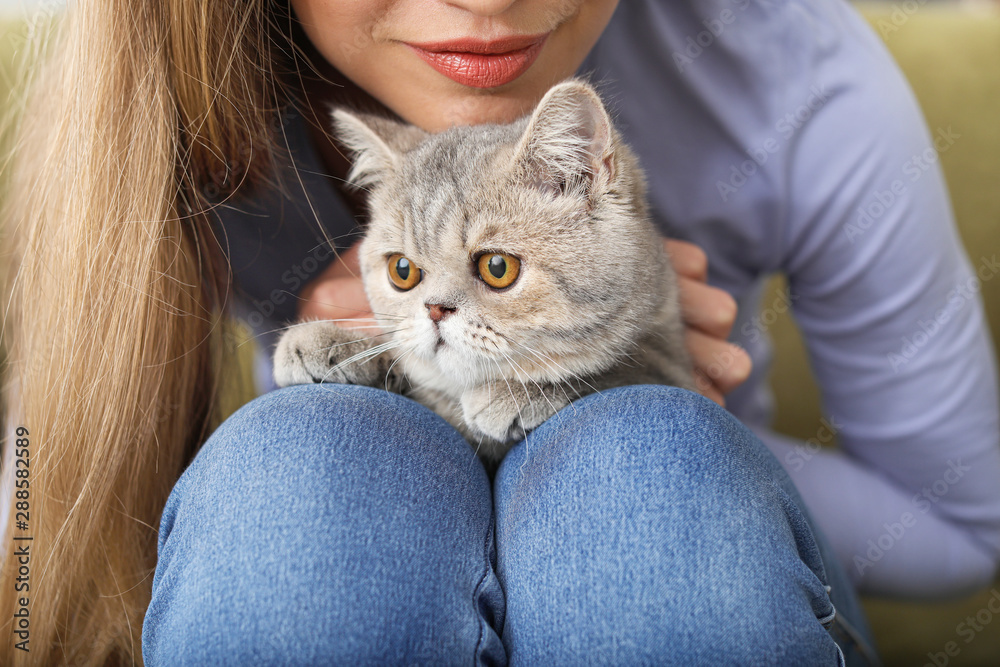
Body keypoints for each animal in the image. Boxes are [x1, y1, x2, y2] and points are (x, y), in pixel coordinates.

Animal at [274, 79, 696, 464]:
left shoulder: (673, 363)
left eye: (497, 267)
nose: (435, 310)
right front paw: (339, 346)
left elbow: (621, 367)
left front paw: (518, 391)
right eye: (402, 270)